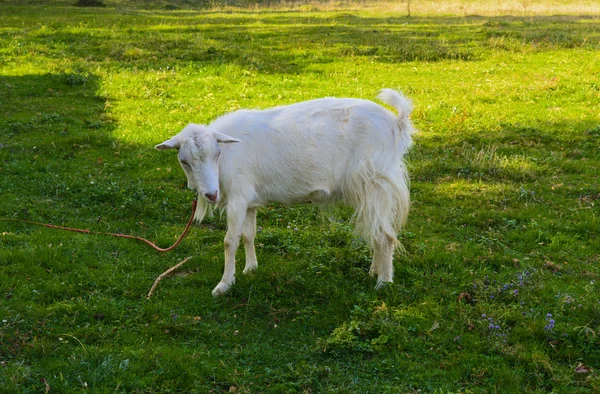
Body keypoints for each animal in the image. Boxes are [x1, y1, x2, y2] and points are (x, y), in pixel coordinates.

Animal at [157, 89, 414, 296]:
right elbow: (248, 235)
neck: (229, 154)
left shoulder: (238, 197)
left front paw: (224, 285)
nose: (211, 194)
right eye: (184, 161)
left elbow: (230, 241)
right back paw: (375, 271)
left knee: (385, 235)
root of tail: (396, 123)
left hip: (376, 183)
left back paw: (383, 282)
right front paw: (250, 268)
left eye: (217, 154)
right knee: (376, 230)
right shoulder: (249, 201)